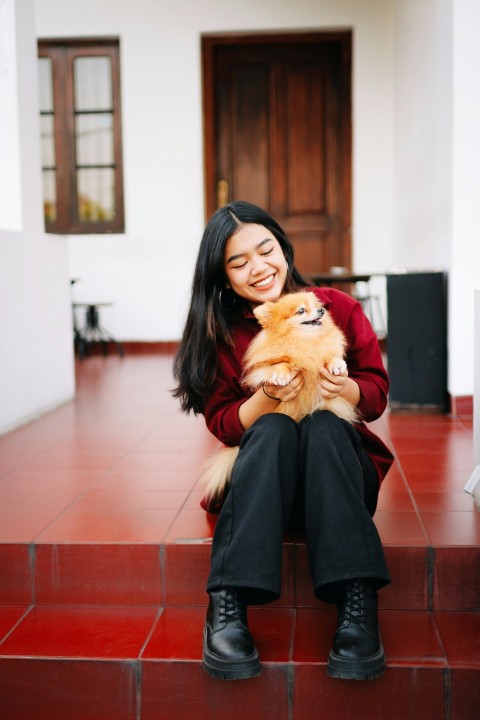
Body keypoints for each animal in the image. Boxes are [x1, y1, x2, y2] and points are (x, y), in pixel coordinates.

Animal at [202, 290, 356, 504]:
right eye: (301, 310)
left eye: (316, 306)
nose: (321, 310)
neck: (305, 342)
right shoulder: (269, 363)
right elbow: (280, 363)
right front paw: (282, 375)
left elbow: (331, 356)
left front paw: (337, 366)